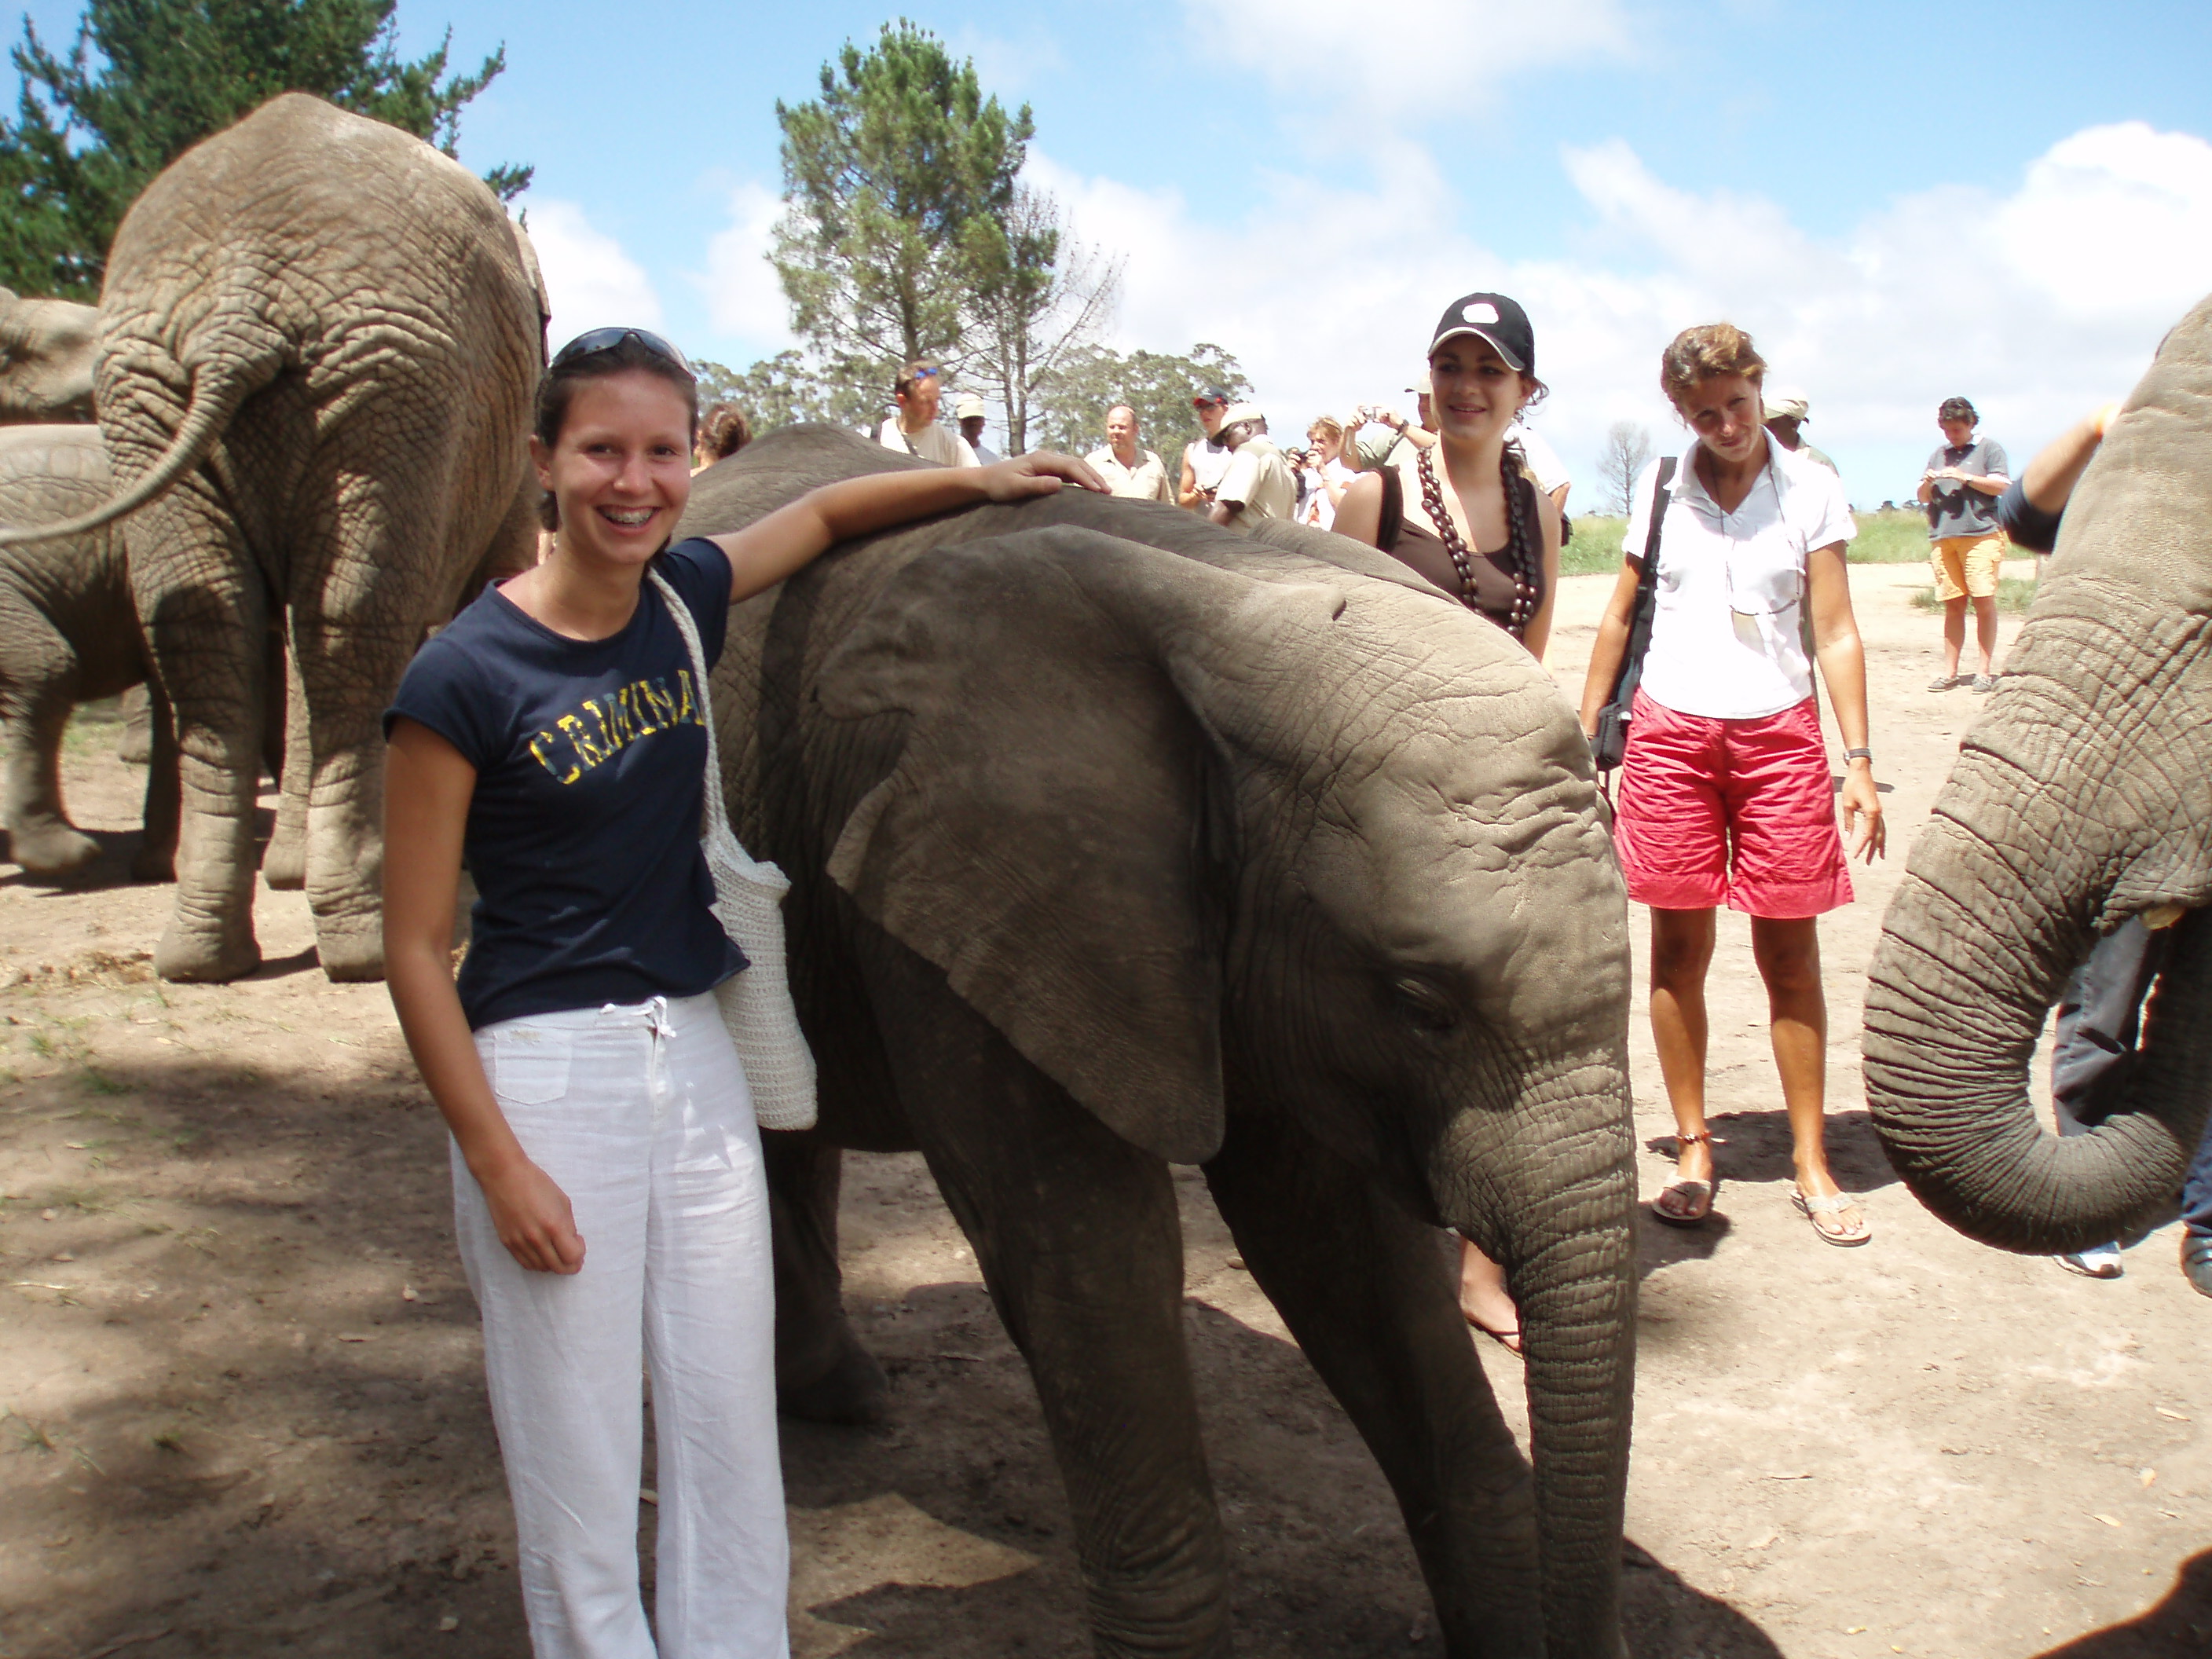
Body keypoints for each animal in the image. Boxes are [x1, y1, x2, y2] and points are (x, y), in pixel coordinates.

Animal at [678, 425, 1638, 1658]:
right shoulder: (975, 878)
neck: (1230, 596)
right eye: (1421, 1001)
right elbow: (1086, 1254)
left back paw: (839, 1395)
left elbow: (1337, 1237)